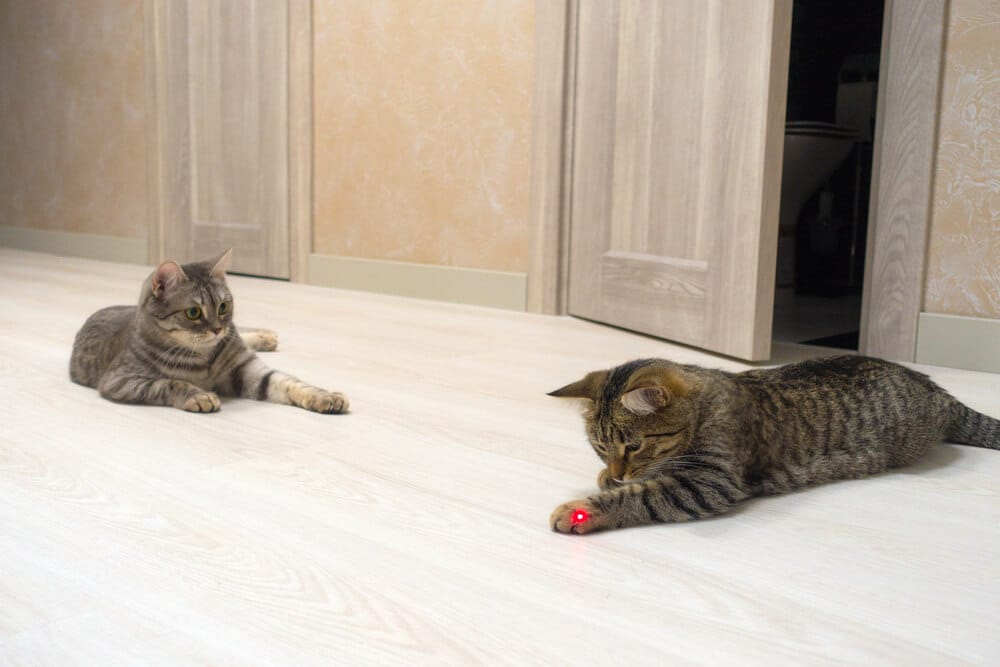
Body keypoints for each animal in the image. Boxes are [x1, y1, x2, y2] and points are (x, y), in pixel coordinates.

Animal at [68, 250, 350, 414]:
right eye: (193, 312)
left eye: (223, 306)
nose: (217, 328)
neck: (205, 358)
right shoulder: (120, 380)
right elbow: (169, 382)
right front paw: (199, 395)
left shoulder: (247, 369)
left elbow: (290, 382)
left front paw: (324, 396)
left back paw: (265, 336)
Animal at [552, 358, 996, 536]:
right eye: (599, 447)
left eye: (634, 445)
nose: (619, 470)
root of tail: (935, 388)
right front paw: (607, 478)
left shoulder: (709, 482)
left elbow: (643, 494)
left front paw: (586, 508)